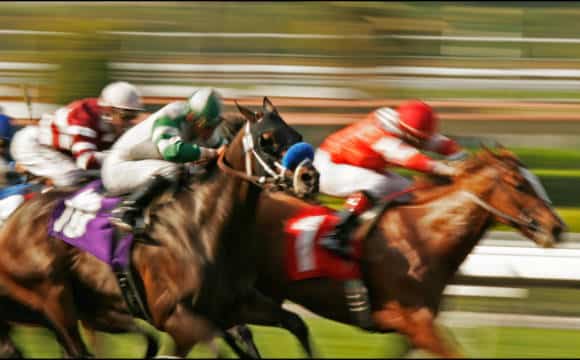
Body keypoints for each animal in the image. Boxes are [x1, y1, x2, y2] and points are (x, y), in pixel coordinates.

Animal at [0, 97, 314, 358]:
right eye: (266, 139)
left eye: (297, 136)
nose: (309, 177)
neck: (203, 225)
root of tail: (16, 219)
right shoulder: (175, 316)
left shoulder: (236, 304)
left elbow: (296, 324)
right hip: (54, 299)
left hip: (94, 306)